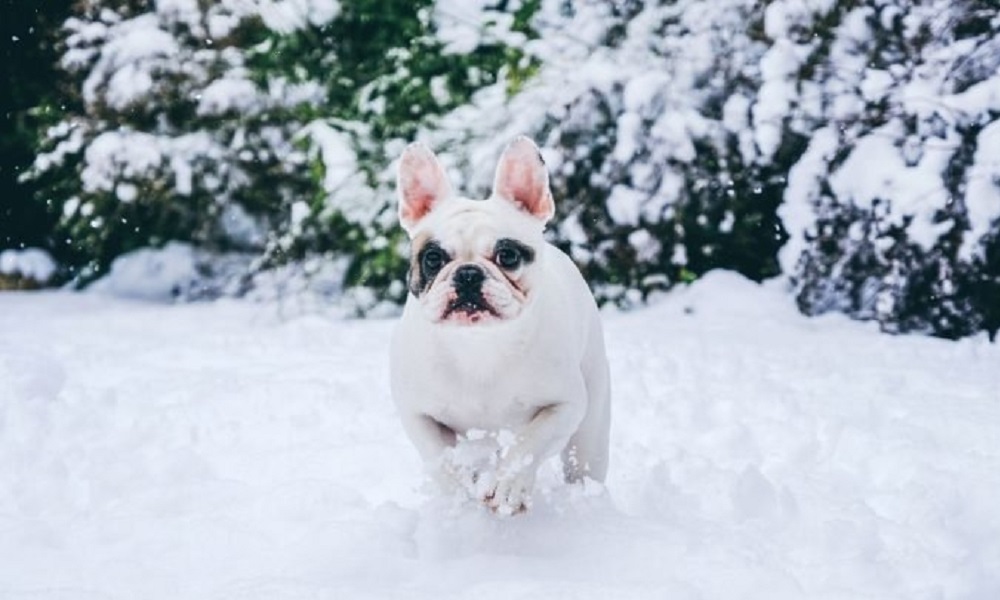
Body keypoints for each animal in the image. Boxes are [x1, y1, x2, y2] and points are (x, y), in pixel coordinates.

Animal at [388, 137, 608, 516]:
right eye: (433, 259)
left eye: (508, 256)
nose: (468, 273)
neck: (479, 344)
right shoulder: (419, 416)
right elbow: (443, 460)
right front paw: (460, 494)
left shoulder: (564, 406)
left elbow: (530, 442)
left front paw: (508, 485)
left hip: (590, 432)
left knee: (581, 465)